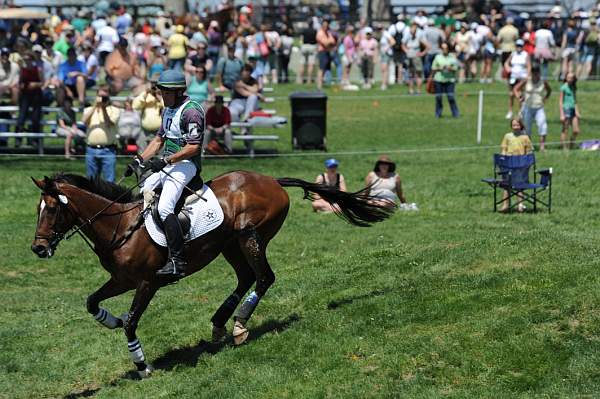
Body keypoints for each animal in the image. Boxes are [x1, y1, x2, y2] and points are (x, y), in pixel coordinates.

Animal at [31, 172, 394, 378]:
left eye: (53, 209)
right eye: (38, 210)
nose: (38, 248)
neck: (121, 227)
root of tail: (272, 181)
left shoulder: (146, 283)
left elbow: (132, 322)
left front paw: (142, 365)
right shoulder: (122, 280)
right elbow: (92, 302)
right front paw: (111, 320)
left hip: (250, 236)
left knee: (264, 278)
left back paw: (239, 326)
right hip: (230, 244)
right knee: (246, 278)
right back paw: (221, 324)